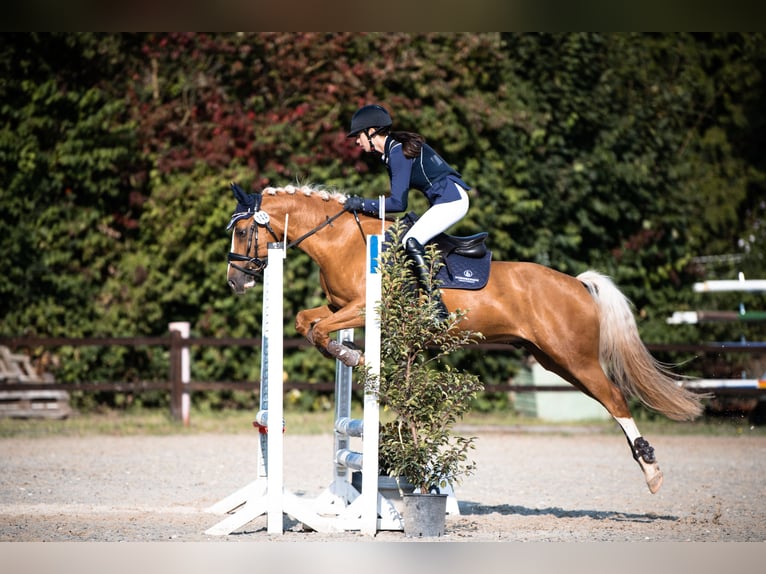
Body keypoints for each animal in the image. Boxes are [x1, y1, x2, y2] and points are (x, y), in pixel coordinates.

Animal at [226, 184, 708, 496]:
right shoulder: (342, 307)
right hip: (552, 360)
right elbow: (307, 323)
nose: (235, 281)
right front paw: (351, 354)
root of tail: (577, 283)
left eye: (244, 232)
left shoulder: (367, 307)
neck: (344, 242)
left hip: (575, 358)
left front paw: (353, 355)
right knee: (608, 399)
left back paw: (652, 471)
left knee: (616, 399)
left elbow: (320, 331)